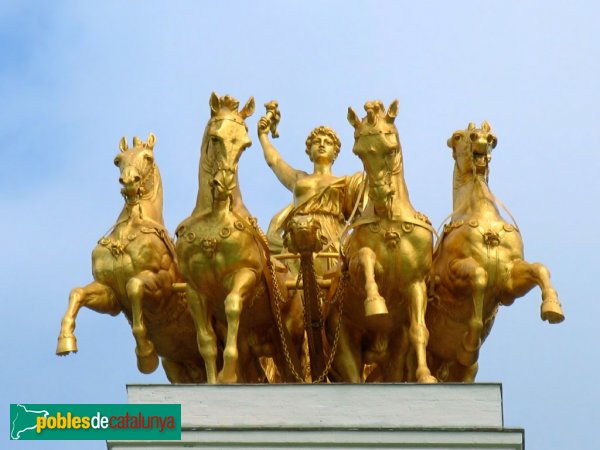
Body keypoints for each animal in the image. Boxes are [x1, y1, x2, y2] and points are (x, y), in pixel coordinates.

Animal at [56, 134, 206, 384]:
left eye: (148, 157)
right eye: (117, 160)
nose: (129, 182)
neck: (129, 230)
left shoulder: (162, 285)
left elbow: (134, 286)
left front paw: (145, 354)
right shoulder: (110, 294)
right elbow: (76, 293)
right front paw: (65, 342)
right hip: (178, 366)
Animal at [176, 94, 302, 384]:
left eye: (245, 145)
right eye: (215, 138)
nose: (224, 185)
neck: (215, 218)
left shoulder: (245, 274)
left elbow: (232, 305)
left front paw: (227, 373)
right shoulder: (194, 289)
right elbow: (206, 342)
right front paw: (215, 379)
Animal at [328, 100, 436, 382]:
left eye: (391, 149)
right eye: (359, 153)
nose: (378, 196)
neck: (390, 223)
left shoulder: (415, 283)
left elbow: (420, 330)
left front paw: (425, 375)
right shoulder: (353, 272)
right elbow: (366, 257)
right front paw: (375, 304)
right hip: (341, 340)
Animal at [428, 121, 564, 382]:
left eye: (491, 138)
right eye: (459, 136)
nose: (480, 138)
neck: (484, 218)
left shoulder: (508, 281)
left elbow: (539, 268)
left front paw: (552, 308)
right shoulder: (452, 272)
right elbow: (479, 277)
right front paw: (470, 344)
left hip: (462, 371)